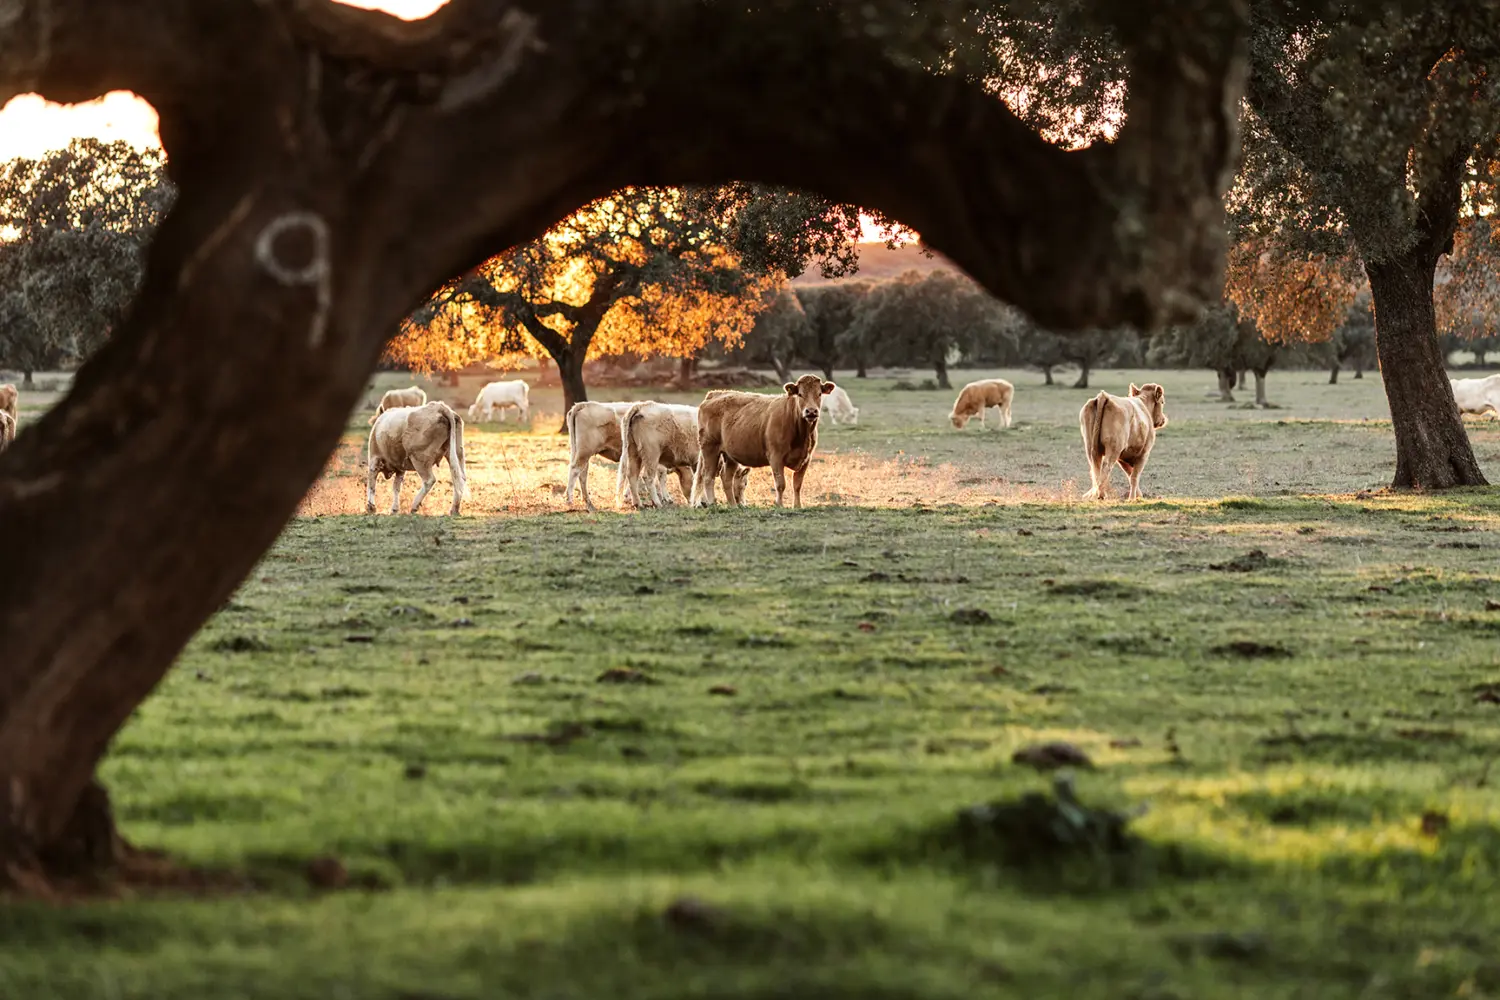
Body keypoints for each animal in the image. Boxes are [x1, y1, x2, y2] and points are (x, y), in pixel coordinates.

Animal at [692, 374, 834, 508]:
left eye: (819, 394)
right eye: (800, 394)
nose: (811, 411)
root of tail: (715, 393)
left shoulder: (806, 459)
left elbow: (797, 484)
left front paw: (797, 506)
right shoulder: (776, 456)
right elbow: (780, 484)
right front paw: (779, 505)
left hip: (730, 456)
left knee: (726, 479)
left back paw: (733, 506)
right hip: (709, 448)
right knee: (708, 477)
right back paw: (712, 503)